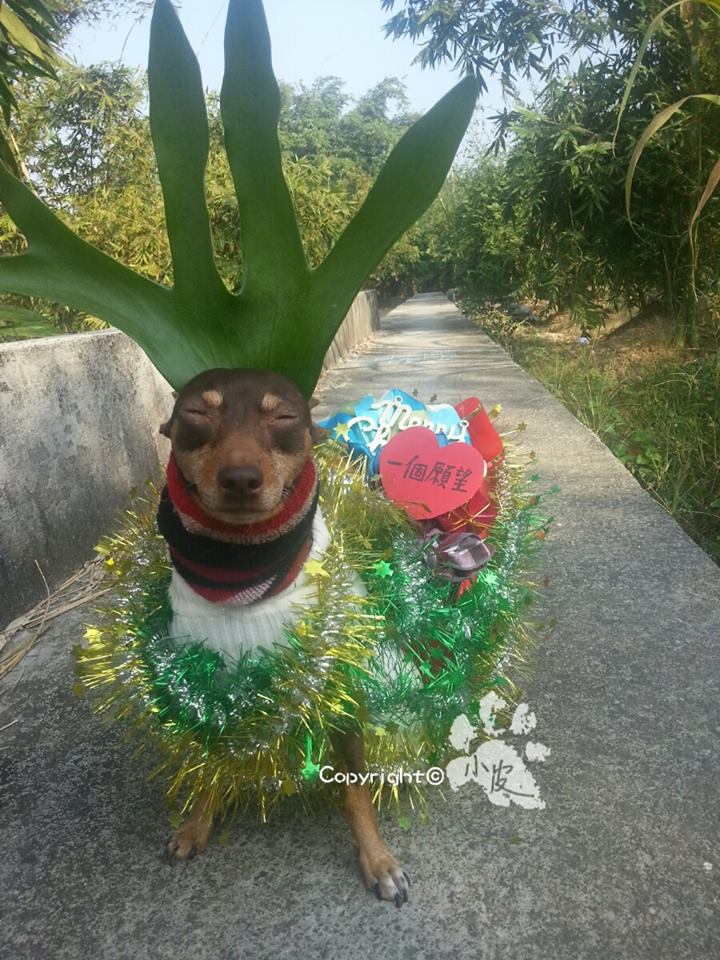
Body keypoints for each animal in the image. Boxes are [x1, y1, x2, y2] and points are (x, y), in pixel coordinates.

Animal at [156, 368, 410, 908]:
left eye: (286, 417)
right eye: (196, 413)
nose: (239, 478)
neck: (244, 577)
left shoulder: (342, 698)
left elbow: (356, 792)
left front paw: (378, 861)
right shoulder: (200, 688)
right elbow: (205, 767)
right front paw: (195, 824)